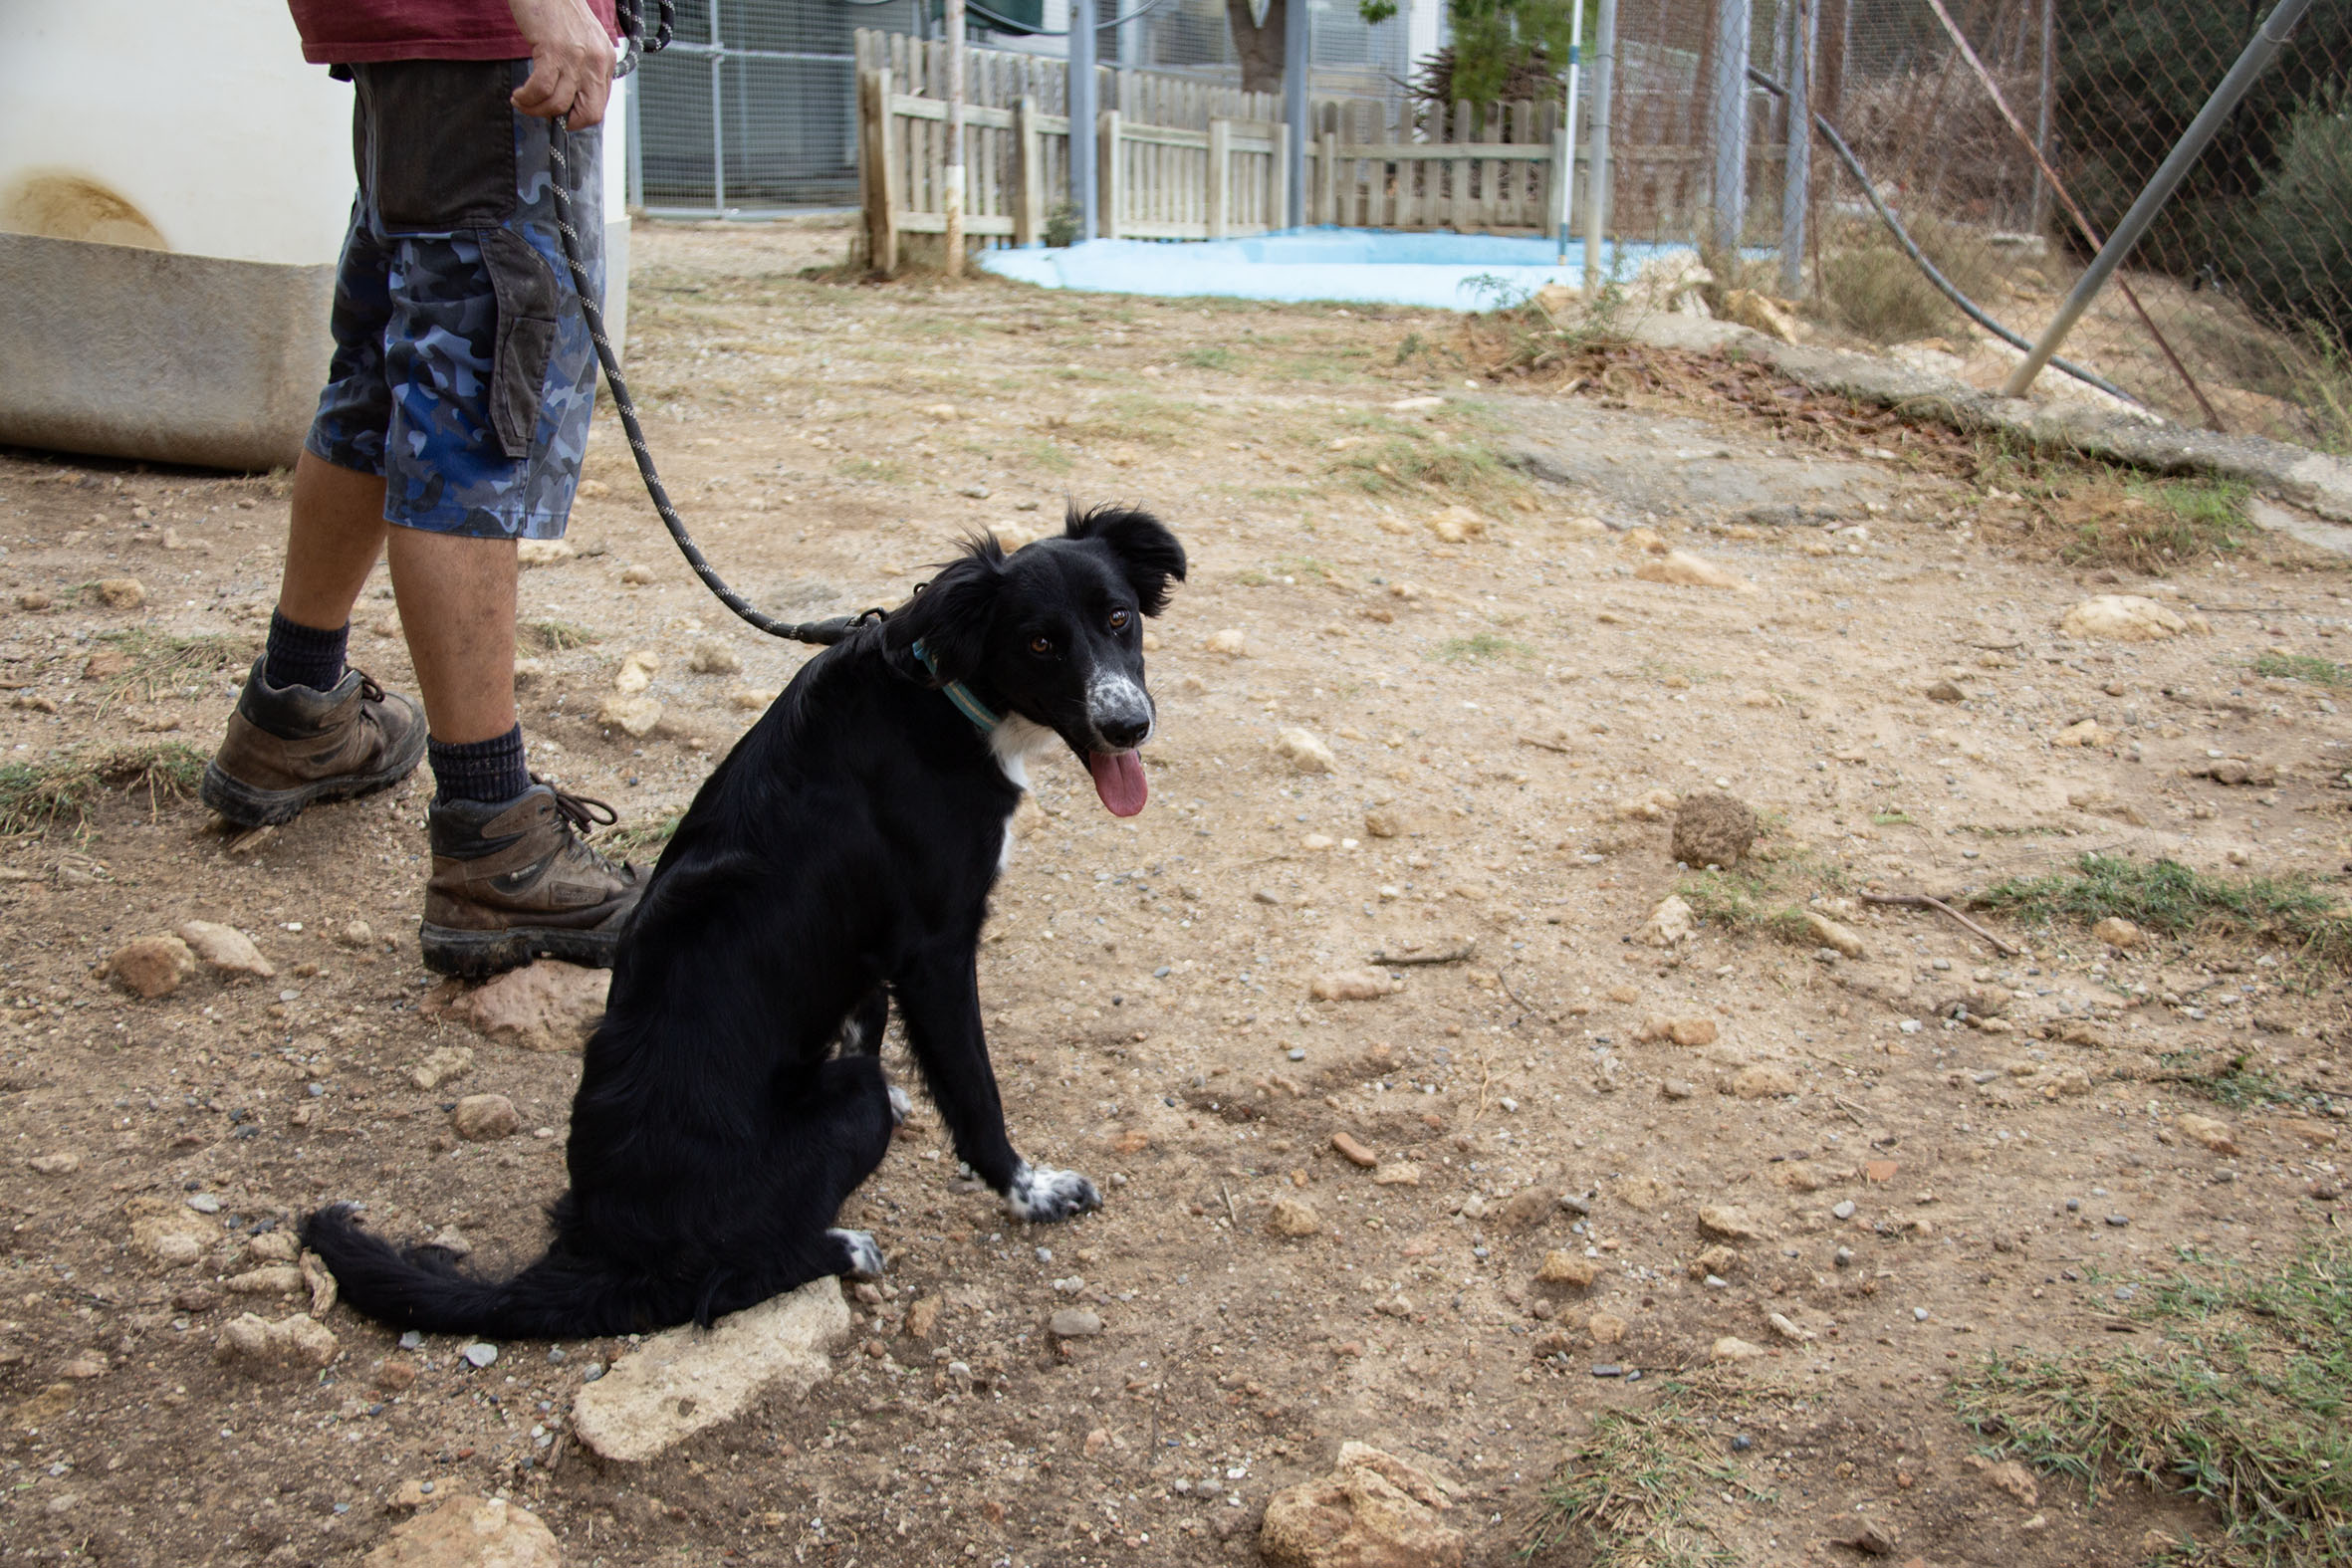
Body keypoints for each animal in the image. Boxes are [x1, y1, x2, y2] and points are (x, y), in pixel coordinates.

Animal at [302, 505, 1187, 1337]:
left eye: (1118, 619)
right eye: (1038, 643)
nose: (1129, 725)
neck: (938, 692)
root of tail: (600, 1243)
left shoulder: (870, 949)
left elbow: (865, 1017)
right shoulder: (936, 950)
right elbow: (974, 1093)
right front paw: (1030, 1189)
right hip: (830, 1125)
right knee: (711, 1281)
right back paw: (842, 1247)